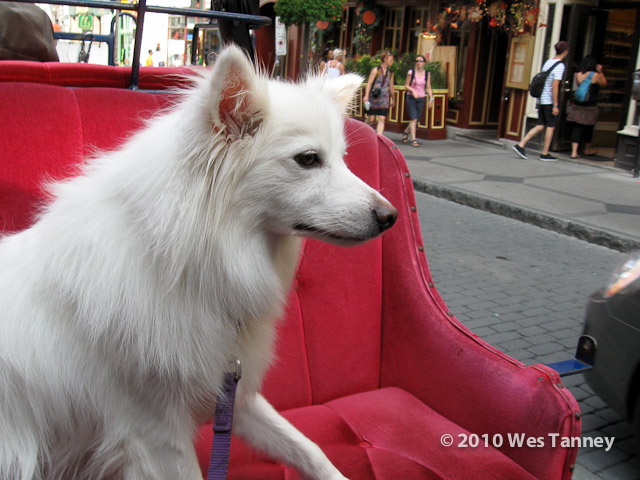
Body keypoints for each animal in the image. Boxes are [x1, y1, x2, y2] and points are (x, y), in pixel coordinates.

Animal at [0, 46, 398, 480]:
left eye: (343, 160)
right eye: (308, 159)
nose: (391, 216)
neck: (183, 264)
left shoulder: (233, 396)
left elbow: (310, 449)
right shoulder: (154, 434)